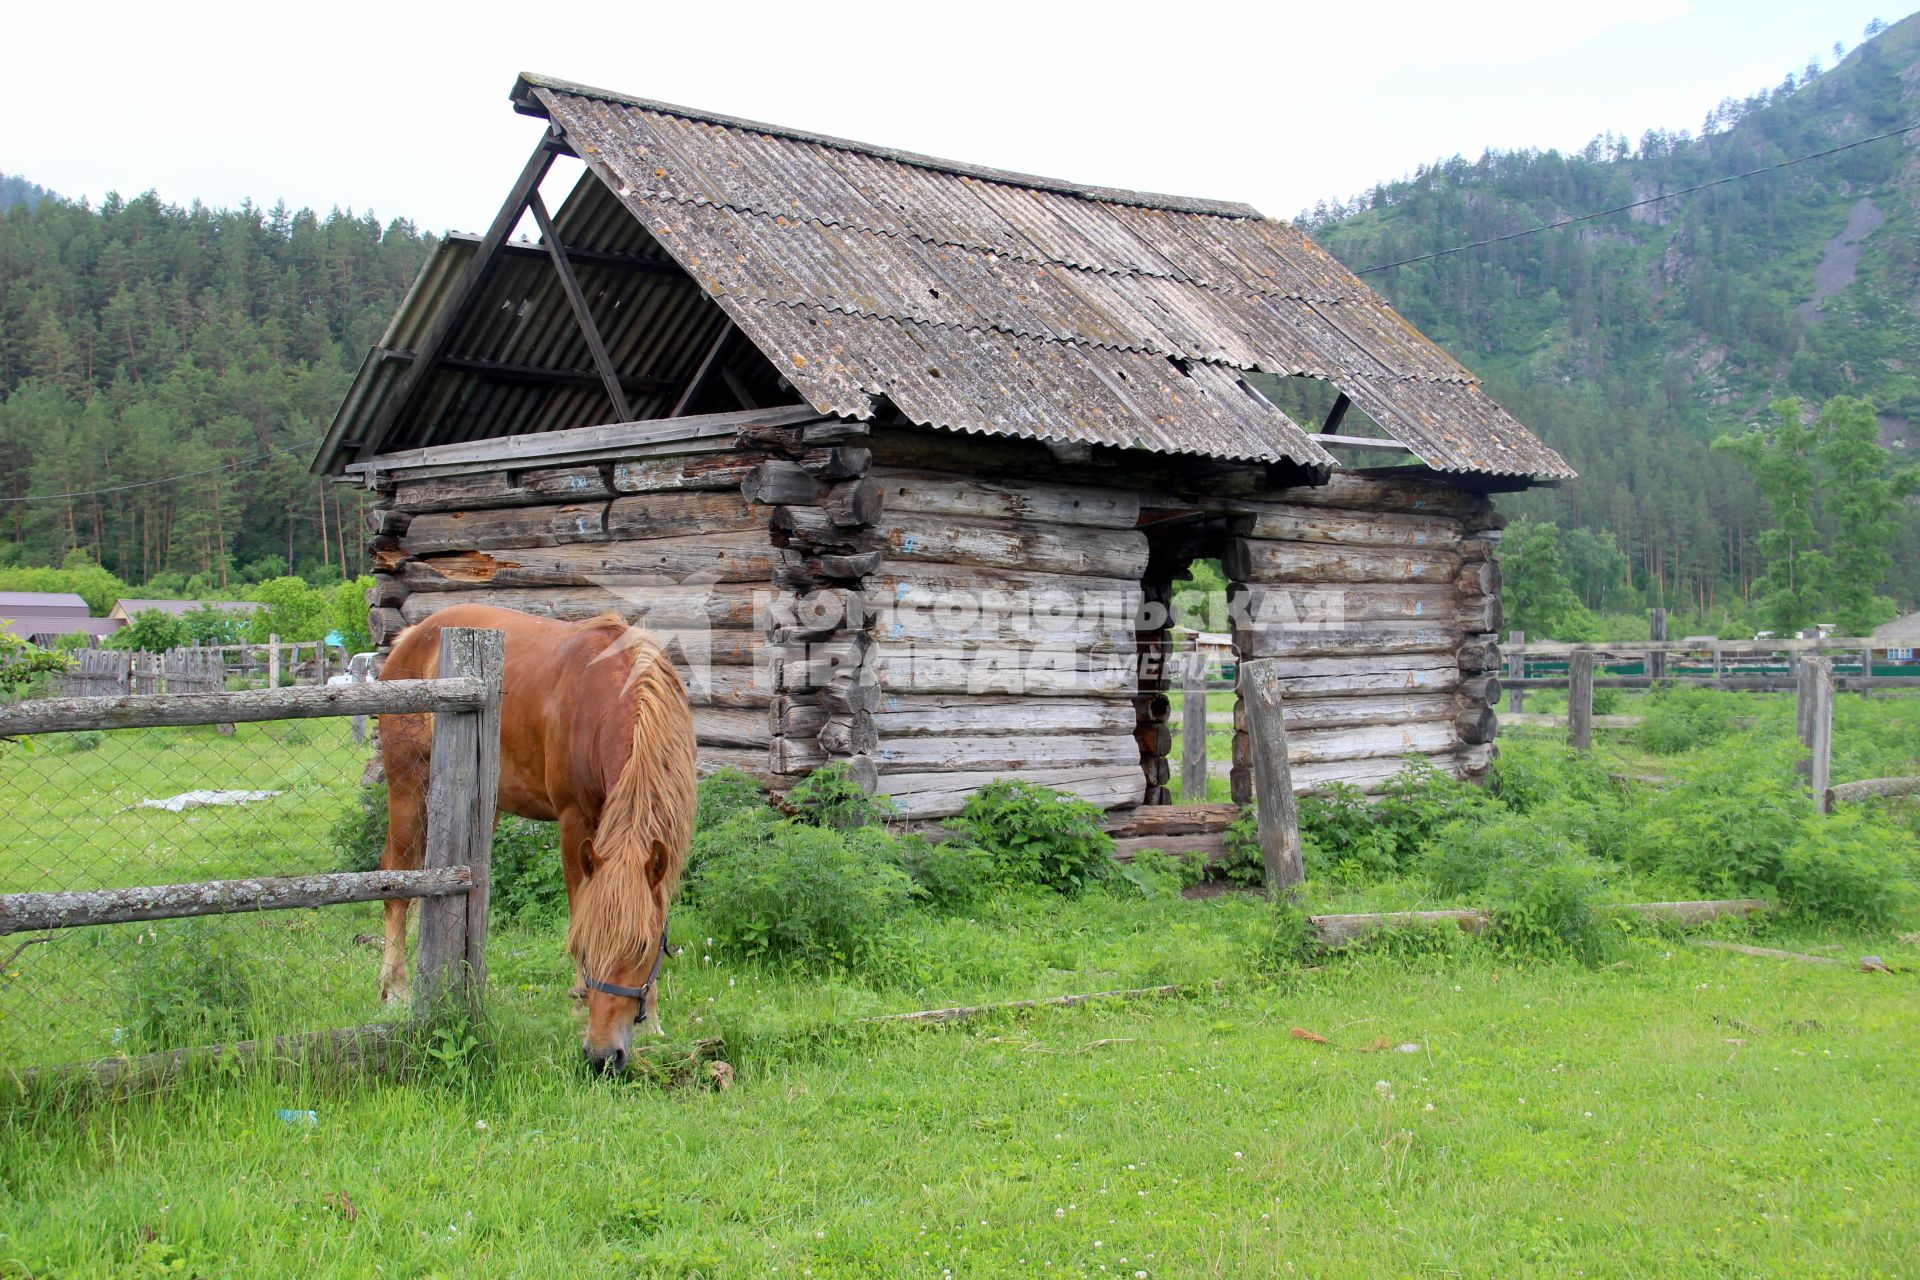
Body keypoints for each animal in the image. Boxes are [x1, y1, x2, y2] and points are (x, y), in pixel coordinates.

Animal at [374, 602, 698, 1074]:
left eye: (640, 947)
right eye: (584, 947)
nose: (603, 1057)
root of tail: (409, 637)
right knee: (395, 880)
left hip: (479, 802)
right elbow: (578, 902)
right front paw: (580, 1002)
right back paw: (395, 989)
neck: (613, 697)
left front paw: (653, 1018)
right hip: (406, 786)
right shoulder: (574, 821)